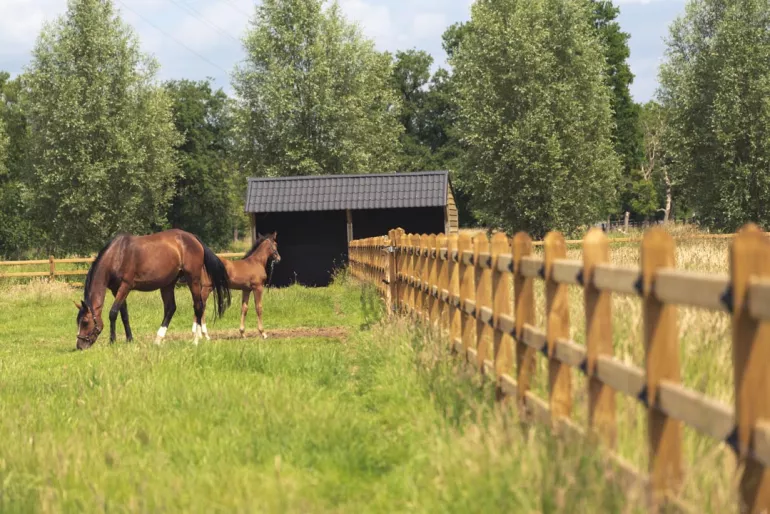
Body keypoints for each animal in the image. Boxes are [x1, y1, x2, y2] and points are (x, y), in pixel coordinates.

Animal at [74, 229, 232, 350]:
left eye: (85, 322)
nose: (80, 346)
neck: (117, 255)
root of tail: (193, 238)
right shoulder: (115, 289)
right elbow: (124, 314)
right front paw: (129, 339)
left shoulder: (125, 286)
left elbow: (113, 313)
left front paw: (112, 341)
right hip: (167, 284)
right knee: (171, 308)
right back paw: (158, 339)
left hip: (193, 279)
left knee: (198, 306)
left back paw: (195, 340)